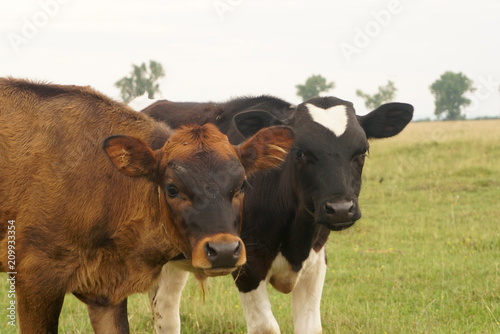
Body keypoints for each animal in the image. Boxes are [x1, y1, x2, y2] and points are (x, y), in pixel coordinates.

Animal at [146, 95, 412, 332]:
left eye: (362, 151)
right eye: (299, 152)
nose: (340, 209)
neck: (296, 238)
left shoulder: (316, 263)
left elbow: (310, 327)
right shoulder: (248, 264)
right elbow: (265, 327)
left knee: (166, 311)